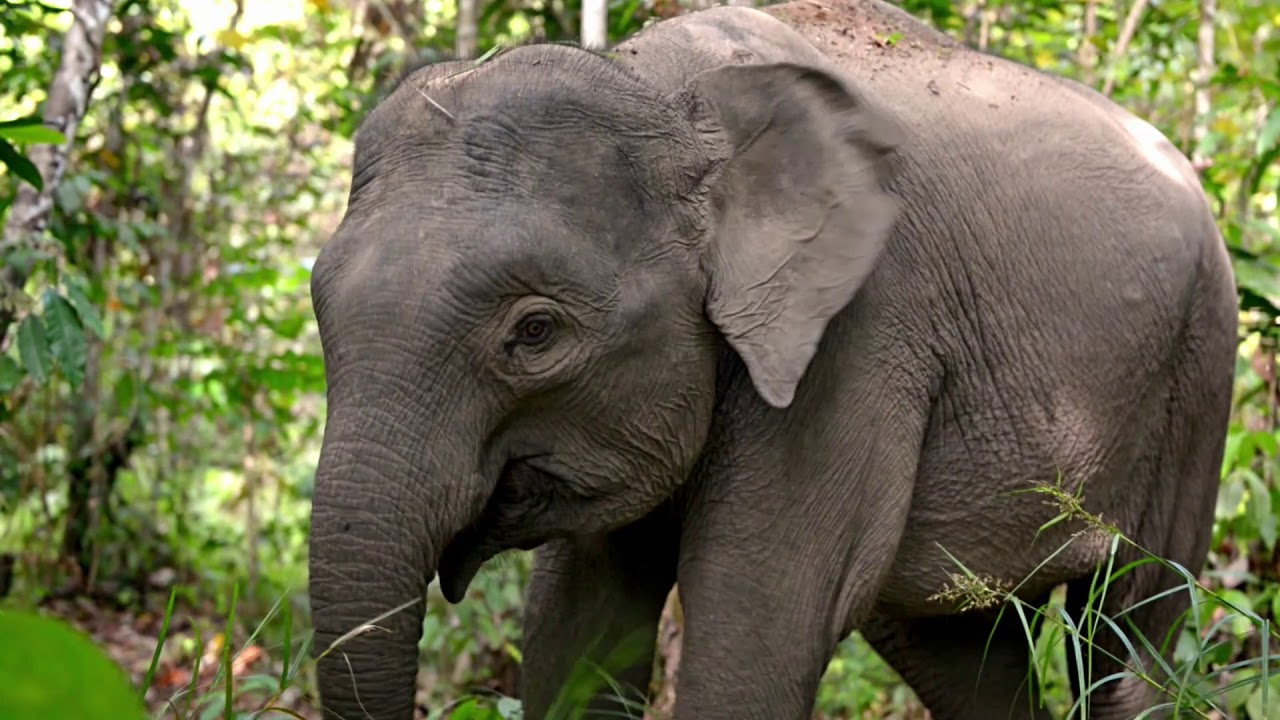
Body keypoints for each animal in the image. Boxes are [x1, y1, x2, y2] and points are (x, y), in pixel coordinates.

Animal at [304, 0, 1239, 718]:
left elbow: (758, 630)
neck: (668, 92)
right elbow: (575, 628)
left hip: (1201, 371)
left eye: (535, 333)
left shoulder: (860, 332)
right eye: (321, 310)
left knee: (1134, 631)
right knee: (961, 652)